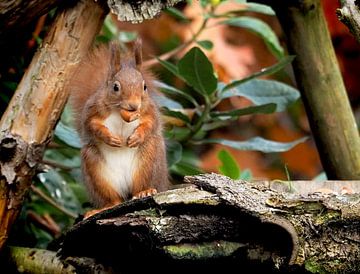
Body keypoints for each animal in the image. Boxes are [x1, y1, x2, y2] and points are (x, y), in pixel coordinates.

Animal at [68, 39, 169, 218]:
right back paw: (104, 207)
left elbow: (150, 124)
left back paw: (144, 191)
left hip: (149, 161)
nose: (134, 105)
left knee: (141, 185)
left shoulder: (149, 111)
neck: (118, 110)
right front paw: (109, 138)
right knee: (113, 199)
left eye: (144, 87)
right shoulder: (92, 110)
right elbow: (91, 125)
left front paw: (137, 136)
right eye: (115, 87)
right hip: (96, 170)